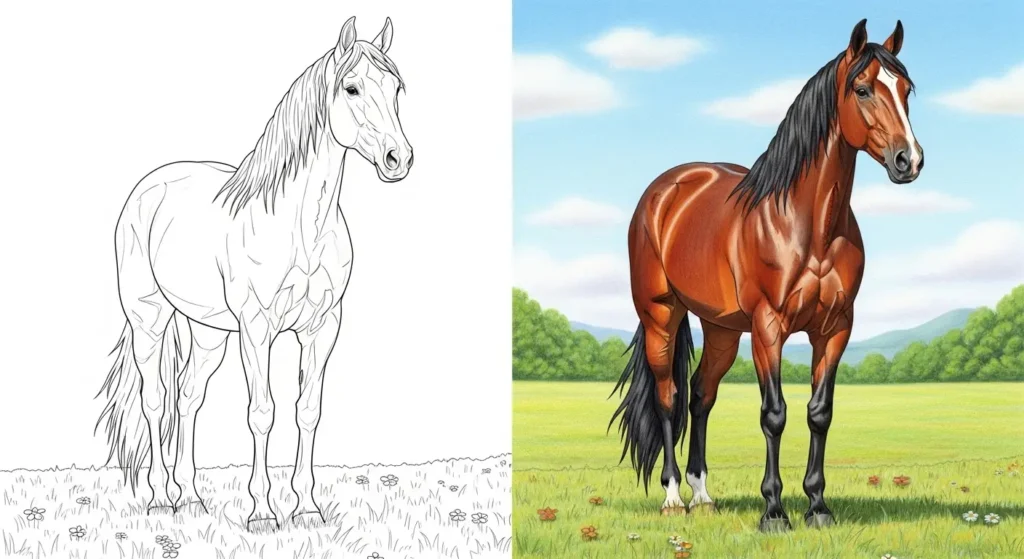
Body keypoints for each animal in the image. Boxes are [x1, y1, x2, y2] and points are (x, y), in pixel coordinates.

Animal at [94, 16, 412, 529]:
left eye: (396, 88)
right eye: (351, 88)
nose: (398, 159)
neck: (300, 226)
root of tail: (150, 186)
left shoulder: (322, 328)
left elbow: (308, 411)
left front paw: (307, 507)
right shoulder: (257, 329)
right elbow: (263, 412)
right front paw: (262, 512)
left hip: (207, 333)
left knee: (188, 397)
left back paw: (191, 498)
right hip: (149, 319)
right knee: (156, 399)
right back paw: (161, 498)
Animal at [610, 19, 922, 532]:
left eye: (906, 90)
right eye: (862, 89)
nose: (909, 160)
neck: (806, 224)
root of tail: (664, 191)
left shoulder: (835, 329)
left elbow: (820, 412)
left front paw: (817, 507)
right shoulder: (768, 327)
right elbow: (774, 414)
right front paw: (774, 511)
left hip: (720, 329)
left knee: (701, 396)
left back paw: (703, 495)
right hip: (662, 316)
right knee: (668, 398)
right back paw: (674, 496)